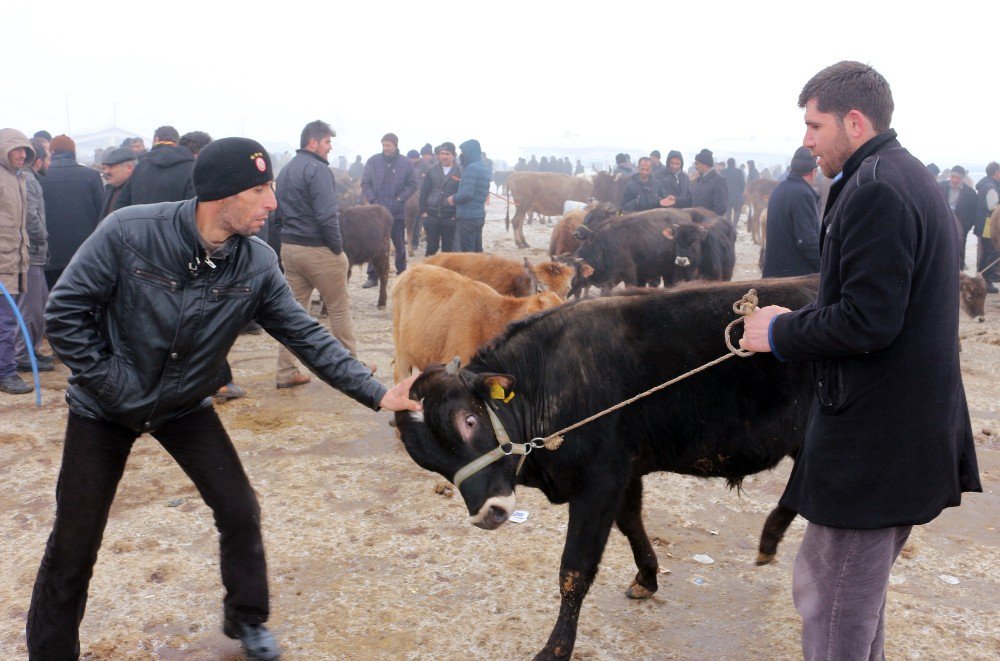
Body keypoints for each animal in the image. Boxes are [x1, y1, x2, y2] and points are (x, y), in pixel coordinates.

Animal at [396, 276, 820, 656]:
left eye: (469, 421)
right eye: (430, 460)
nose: (490, 513)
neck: (548, 377)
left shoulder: (599, 481)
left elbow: (575, 569)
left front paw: (554, 649)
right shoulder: (625, 473)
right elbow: (631, 522)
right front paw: (647, 577)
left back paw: (770, 536)